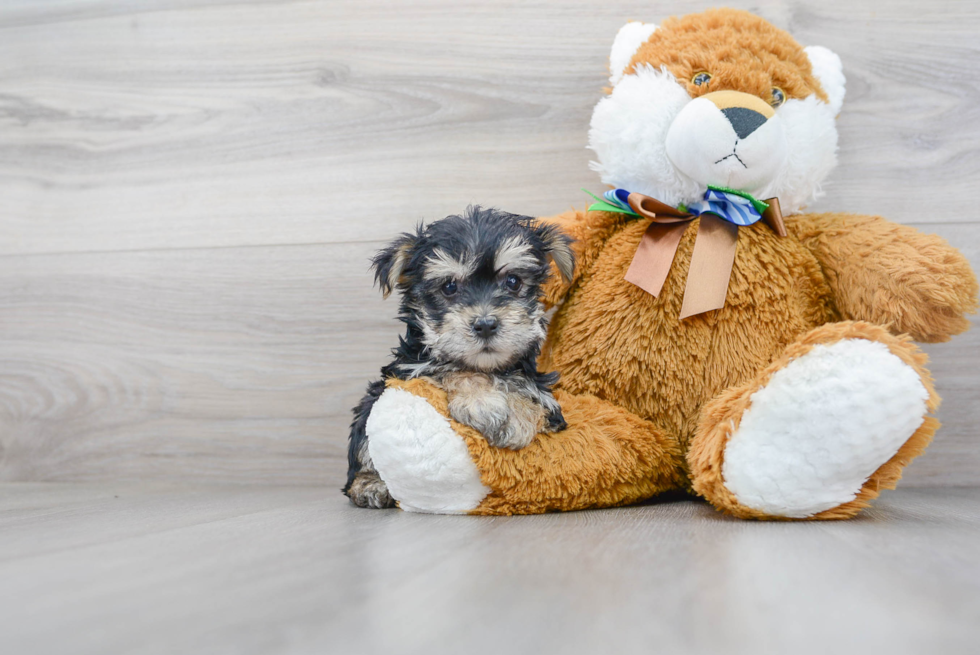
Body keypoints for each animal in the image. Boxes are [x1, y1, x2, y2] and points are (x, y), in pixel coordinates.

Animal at [344, 208, 576, 510]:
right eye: (449, 286)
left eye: (513, 281)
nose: (486, 324)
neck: (489, 367)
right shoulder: (409, 369)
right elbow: (454, 368)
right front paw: (484, 403)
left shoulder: (547, 401)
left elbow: (531, 396)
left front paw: (516, 418)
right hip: (370, 408)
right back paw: (370, 485)